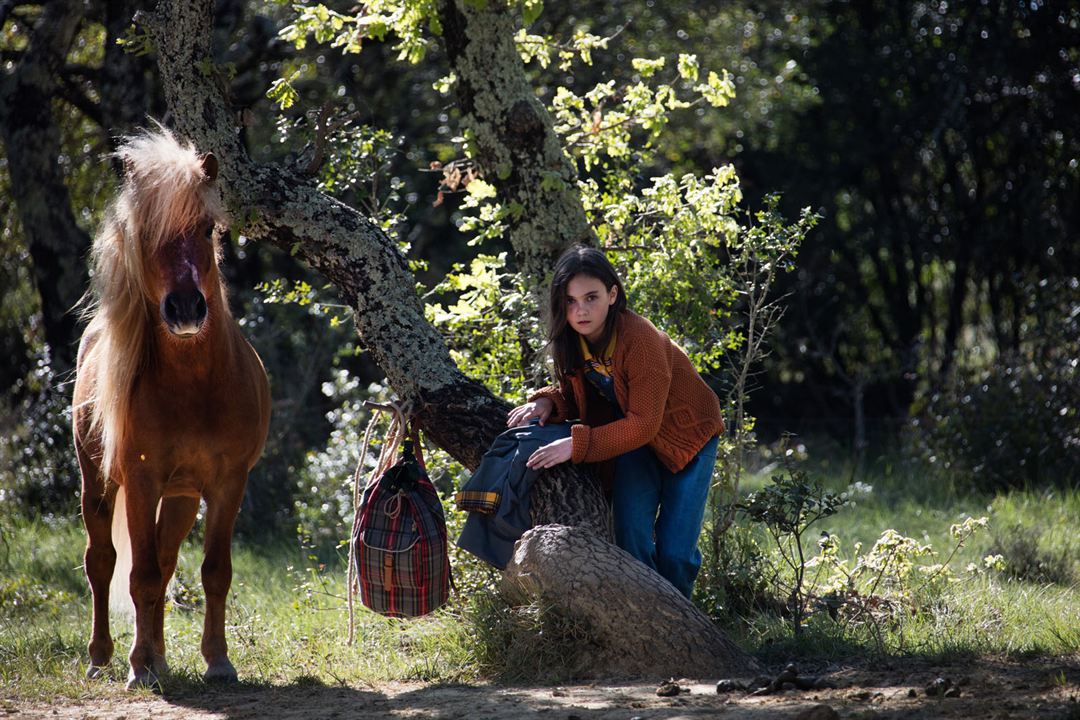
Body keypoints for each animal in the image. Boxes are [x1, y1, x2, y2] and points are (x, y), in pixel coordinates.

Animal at [73, 126, 270, 690]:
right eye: (146, 231)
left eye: (206, 228)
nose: (185, 308)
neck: (196, 388)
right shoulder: (140, 482)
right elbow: (137, 575)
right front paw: (139, 667)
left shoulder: (227, 484)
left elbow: (213, 572)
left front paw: (217, 661)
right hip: (98, 483)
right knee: (104, 561)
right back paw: (105, 656)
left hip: (181, 497)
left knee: (163, 558)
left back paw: (158, 657)